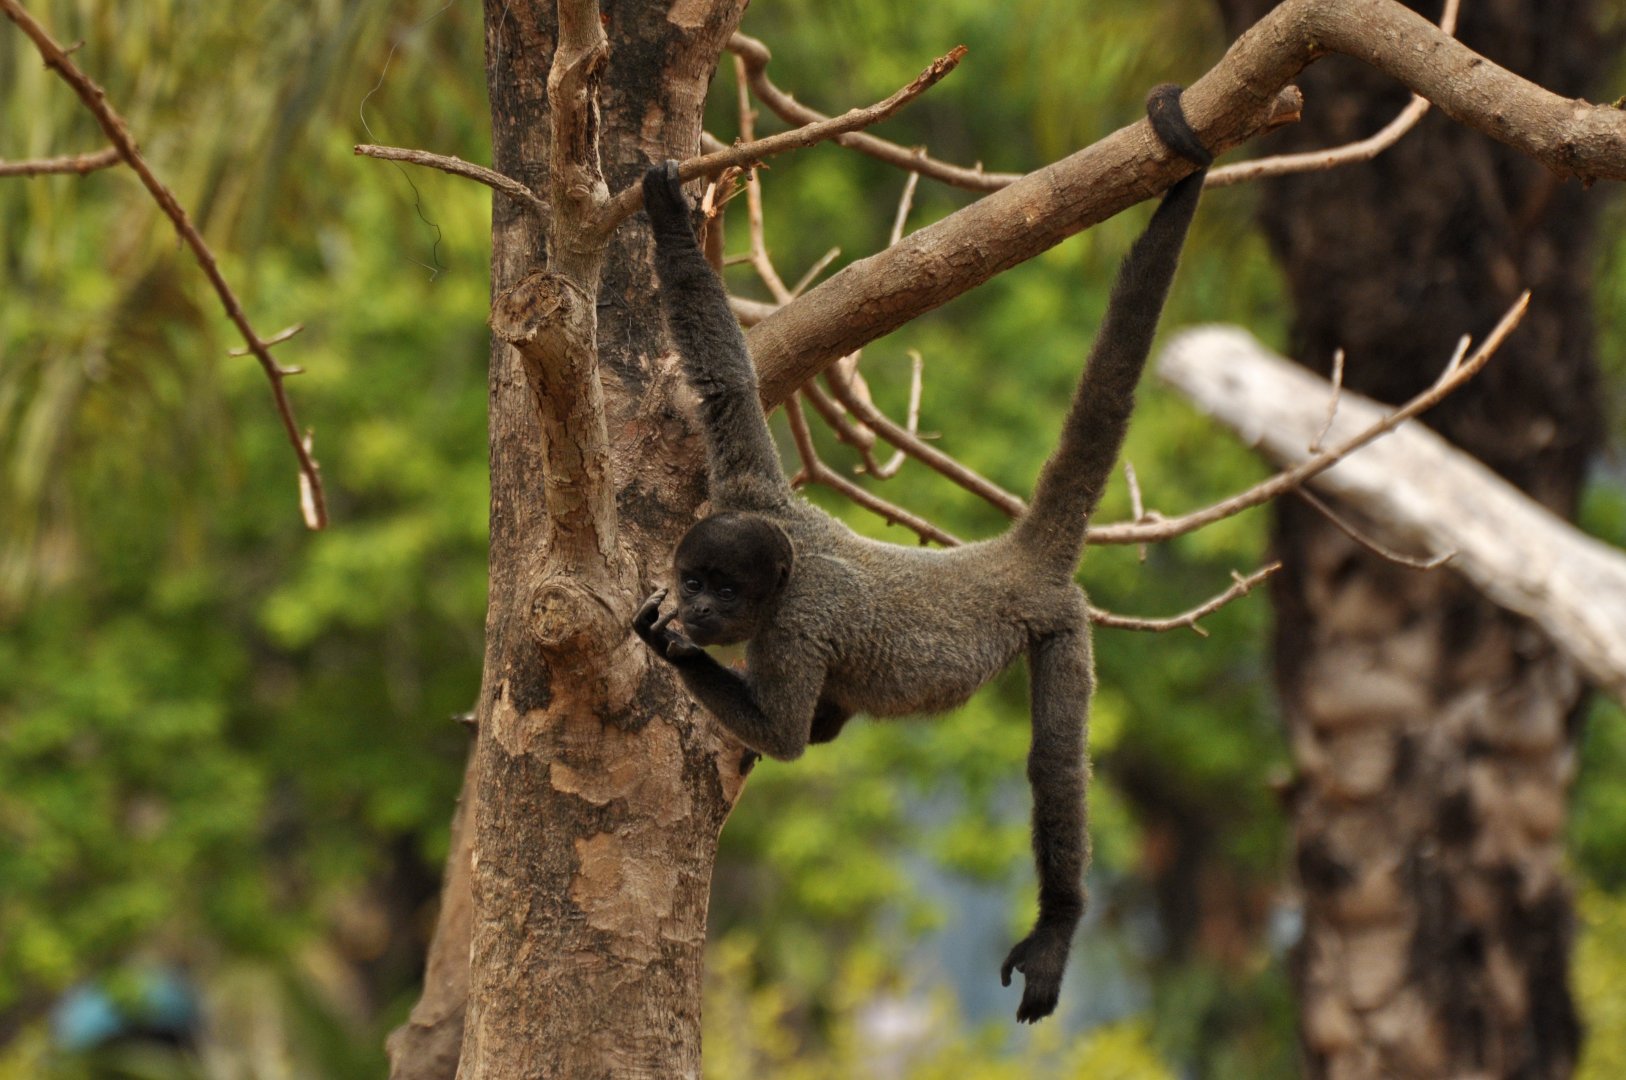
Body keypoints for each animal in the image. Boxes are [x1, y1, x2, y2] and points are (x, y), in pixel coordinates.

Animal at [634, 85, 1212, 1023]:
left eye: (722, 587)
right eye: (693, 577)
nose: (698, 607)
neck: (788, 558)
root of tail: (1011, 556)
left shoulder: (794, 623)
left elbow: (784, 735)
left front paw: (669, 646)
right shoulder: (748, 488)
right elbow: (726, 378)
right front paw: (669, 226)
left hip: (1061, 624)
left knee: (1054, 767)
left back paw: (1058, 922)